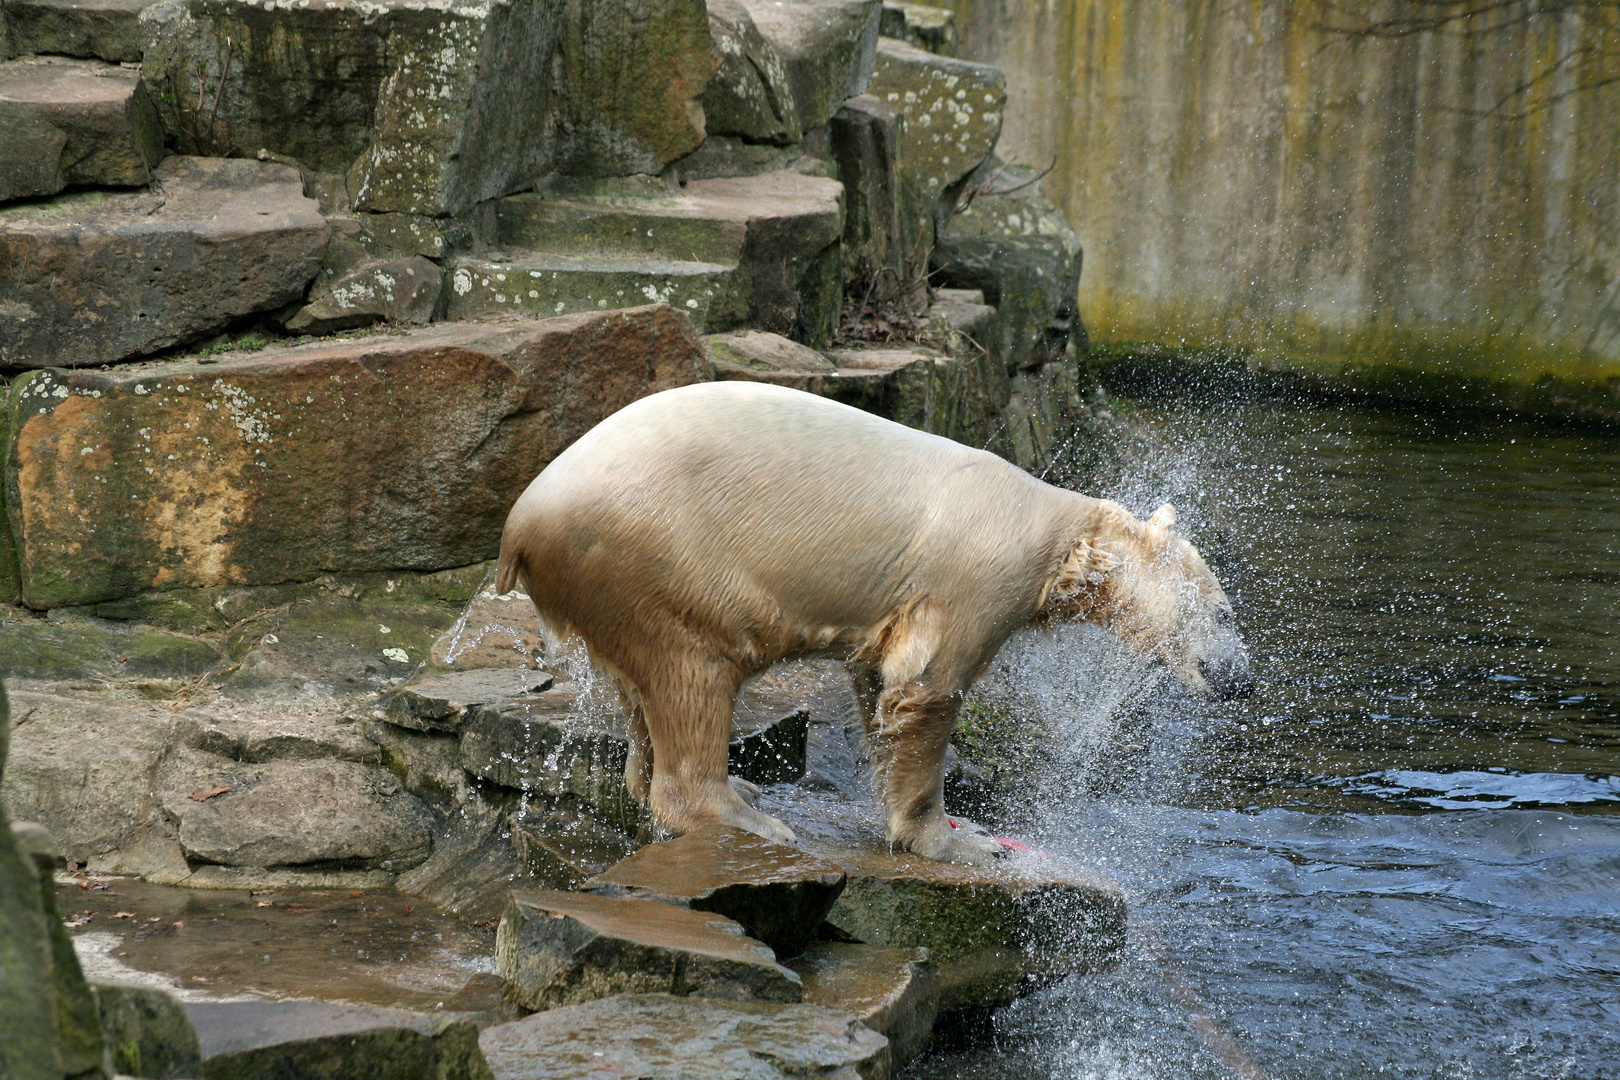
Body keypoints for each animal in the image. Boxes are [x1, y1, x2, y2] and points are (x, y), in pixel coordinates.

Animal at [495, 383, 1250, 867]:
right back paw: (744, 813)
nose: (1241, 678)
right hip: (658, 554)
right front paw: (956, 839)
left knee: (641, 684)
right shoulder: (977, 578)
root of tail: (521, 525)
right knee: (694, 668)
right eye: (1224, 611)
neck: (1061, 535)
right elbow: (925, 687)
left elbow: (877, 676)